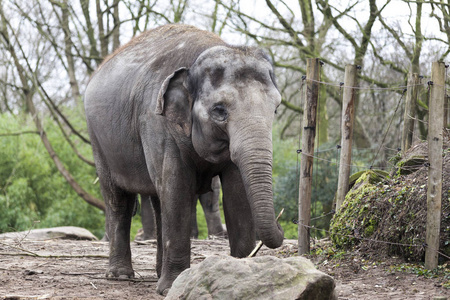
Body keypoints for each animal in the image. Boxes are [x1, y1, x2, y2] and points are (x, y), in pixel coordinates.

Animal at [82, 24, 284, 296]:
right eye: (219, 110)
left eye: (276, 109)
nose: (281, 225)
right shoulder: (157, 121)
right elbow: (177, 188)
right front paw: (170, 288)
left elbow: (236, 193)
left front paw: (240, 278)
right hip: (99, 142)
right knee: (119, 201)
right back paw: (121, 276)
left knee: (158, 200)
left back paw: (157, 273)